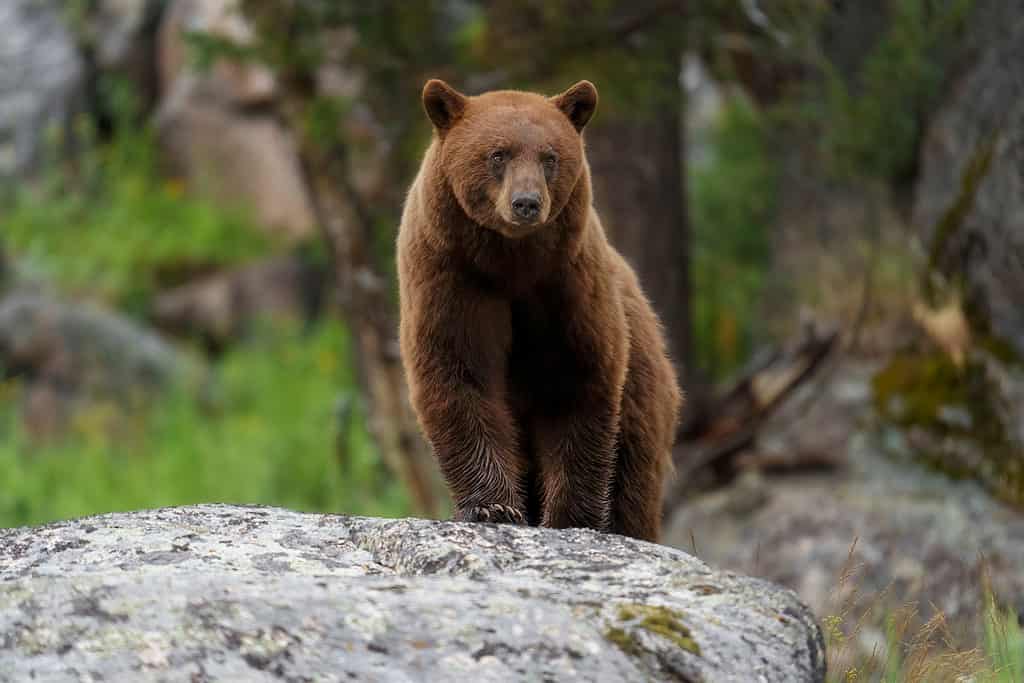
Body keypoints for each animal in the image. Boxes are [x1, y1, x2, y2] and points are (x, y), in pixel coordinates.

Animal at [395, 78, 684, 540]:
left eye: (550, 156)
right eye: (498, 154)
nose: (527, 203)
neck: (511, 262)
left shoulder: (565, 285)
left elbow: (575, 380)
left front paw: (570, 517)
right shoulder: (452, 278)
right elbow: (459, 373)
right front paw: (493, 507)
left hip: (644, 389)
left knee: (634, 478)